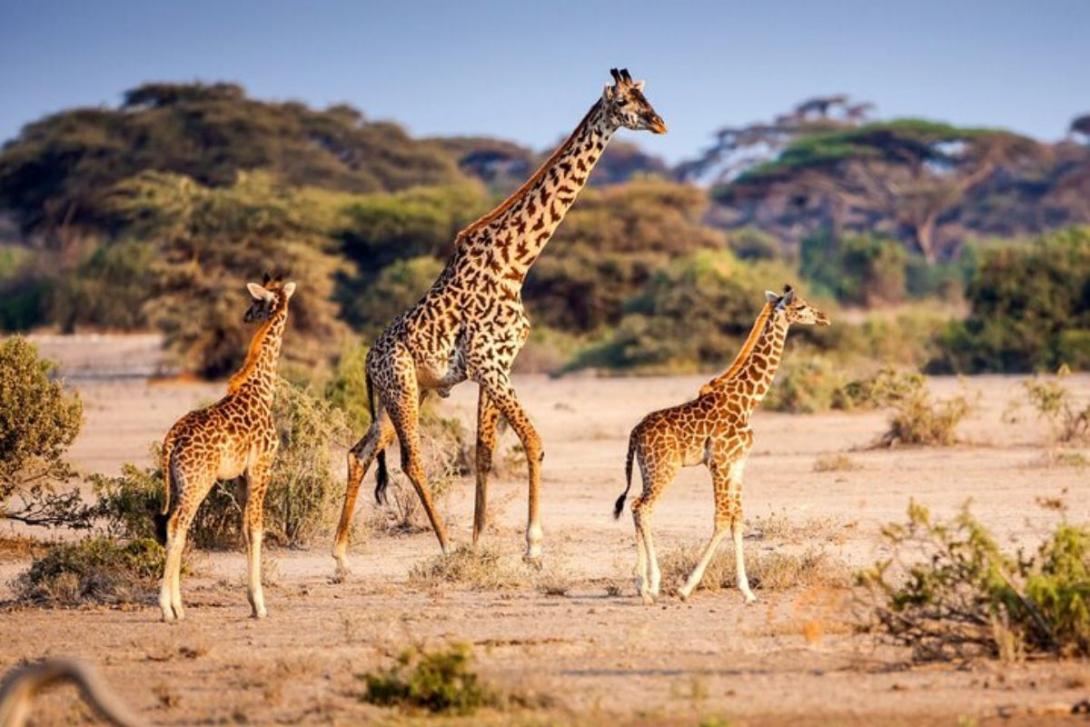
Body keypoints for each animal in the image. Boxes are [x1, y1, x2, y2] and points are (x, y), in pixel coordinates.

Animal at [155, 275, 295, 621]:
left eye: (256, 303)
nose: (246, 315)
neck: (262, 389)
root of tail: (170, 442)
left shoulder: (242, 476)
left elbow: (245, 529)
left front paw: (253, 601)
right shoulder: (261, 466)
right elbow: (257, 528)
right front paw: (260, 604)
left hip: (178, 483)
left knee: (176, 528)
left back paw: (179, 607)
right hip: (197, 482)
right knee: (176, 525)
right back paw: (166, 608)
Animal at [332, 68, 667, 573]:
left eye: (648, 98)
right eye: (627, 102)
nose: (660, 123)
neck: (517, 262)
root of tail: (367, 361)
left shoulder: (498, 365)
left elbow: (484, 452)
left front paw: (480, 540)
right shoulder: (488, 363)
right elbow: (533, 442)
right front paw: (531, 546)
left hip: (406, 394)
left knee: (359, 454)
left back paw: (341, 558)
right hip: (403, 388)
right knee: (410, 459)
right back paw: (444, 545)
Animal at [613, 286, 830, 605]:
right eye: (801, 306)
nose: (824, 316)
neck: (748, 401)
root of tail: (634, 433)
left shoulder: (738, 464)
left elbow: (737, 519)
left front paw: (748, 592)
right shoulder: (720, 462)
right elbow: (722, 519)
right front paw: (686, 588)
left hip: (648, 469)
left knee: (636, 505)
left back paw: (643, 584)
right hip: (664, 469)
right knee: (642, 507)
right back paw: (650, 587)